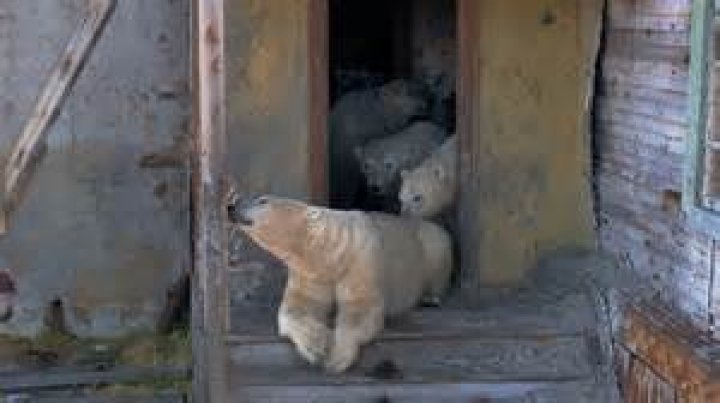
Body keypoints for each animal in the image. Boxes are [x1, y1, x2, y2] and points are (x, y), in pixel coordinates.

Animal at [228, 195, 452, 373]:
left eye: (263, 200)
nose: (233, 204)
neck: (331, 253)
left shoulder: (360, 260)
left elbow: (360, 307)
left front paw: (336, 356)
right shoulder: (311, 273)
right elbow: (299, 305)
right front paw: (316, 346)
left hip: (429, 241)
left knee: (437, 247)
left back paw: (430, 298)